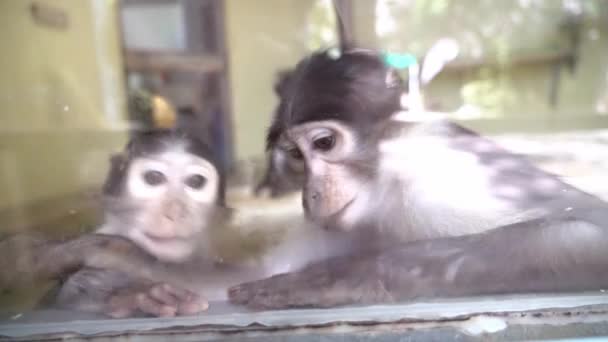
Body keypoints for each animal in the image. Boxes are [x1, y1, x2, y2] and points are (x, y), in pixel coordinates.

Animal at [227, 46, 608, 312]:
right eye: (295, 155)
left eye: (324, 143)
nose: (311, 195)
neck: (385, 183)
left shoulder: (431, 182)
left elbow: (591, 226)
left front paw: (348, 275)